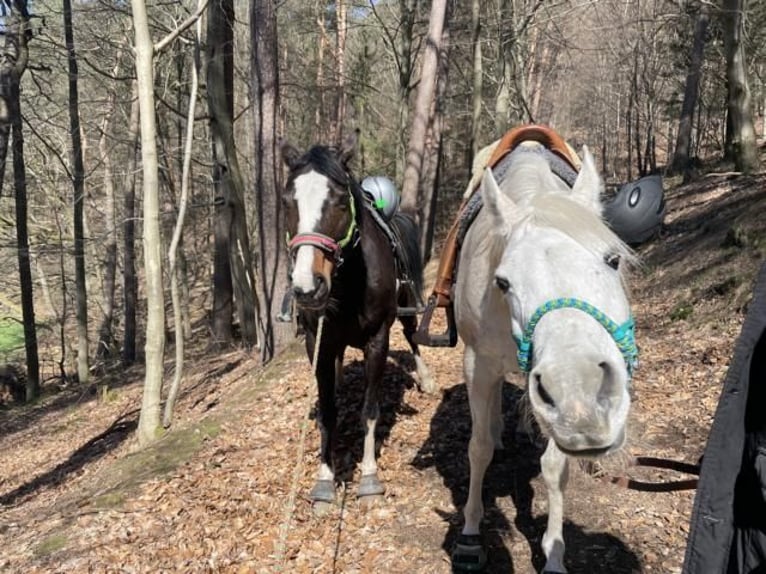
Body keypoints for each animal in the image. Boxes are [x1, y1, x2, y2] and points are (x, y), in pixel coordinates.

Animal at [282, 134, 438, 508]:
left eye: (340, 202)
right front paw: (324, 480)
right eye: (287, 202)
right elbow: (328, 410)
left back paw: (425, 378)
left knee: (412, 337)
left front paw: (369, 477)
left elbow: (370, 409)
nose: (308, 287)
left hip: (406, 308)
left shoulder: (377, 340)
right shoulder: (317, 340)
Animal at [452, 146, 640, 572]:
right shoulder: (478, 365)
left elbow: (555, 468)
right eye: (503, 282)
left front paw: (554, 553)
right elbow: (478, 448)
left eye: (613, 260)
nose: (582, 399)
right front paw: (470, 533)